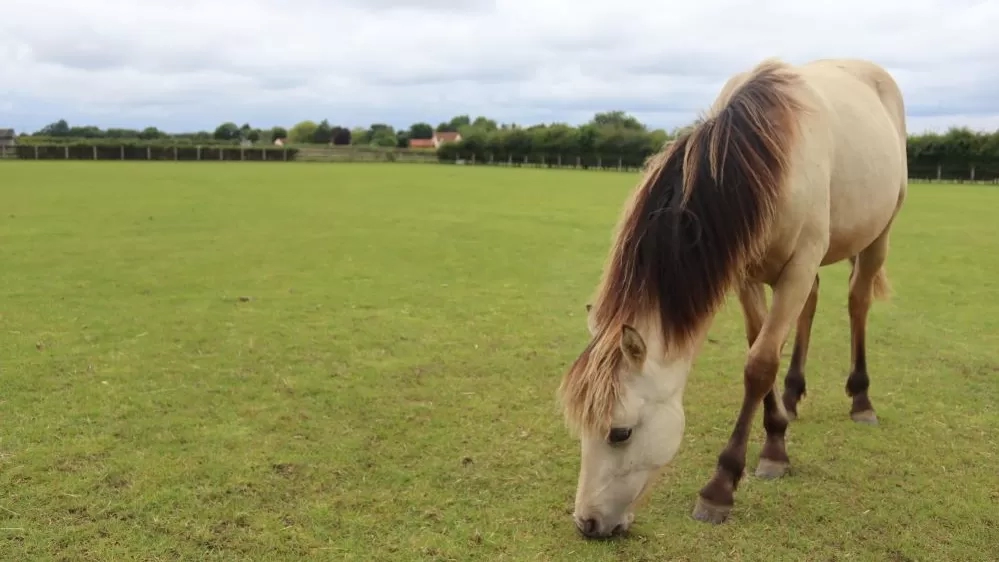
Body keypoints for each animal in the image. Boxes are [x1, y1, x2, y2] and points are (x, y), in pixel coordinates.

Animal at [557, 57, 908, 539]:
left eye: (620, 432)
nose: (587, 522)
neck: (762, 154)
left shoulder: (798, 265)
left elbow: (759, 364)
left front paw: (723, 485)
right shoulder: (745, 272)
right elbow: (759, 346)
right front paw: (776, 434)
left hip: (879, 235)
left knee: (858, 302)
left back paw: (861, 400)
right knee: (811, 305)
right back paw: (793, 397)